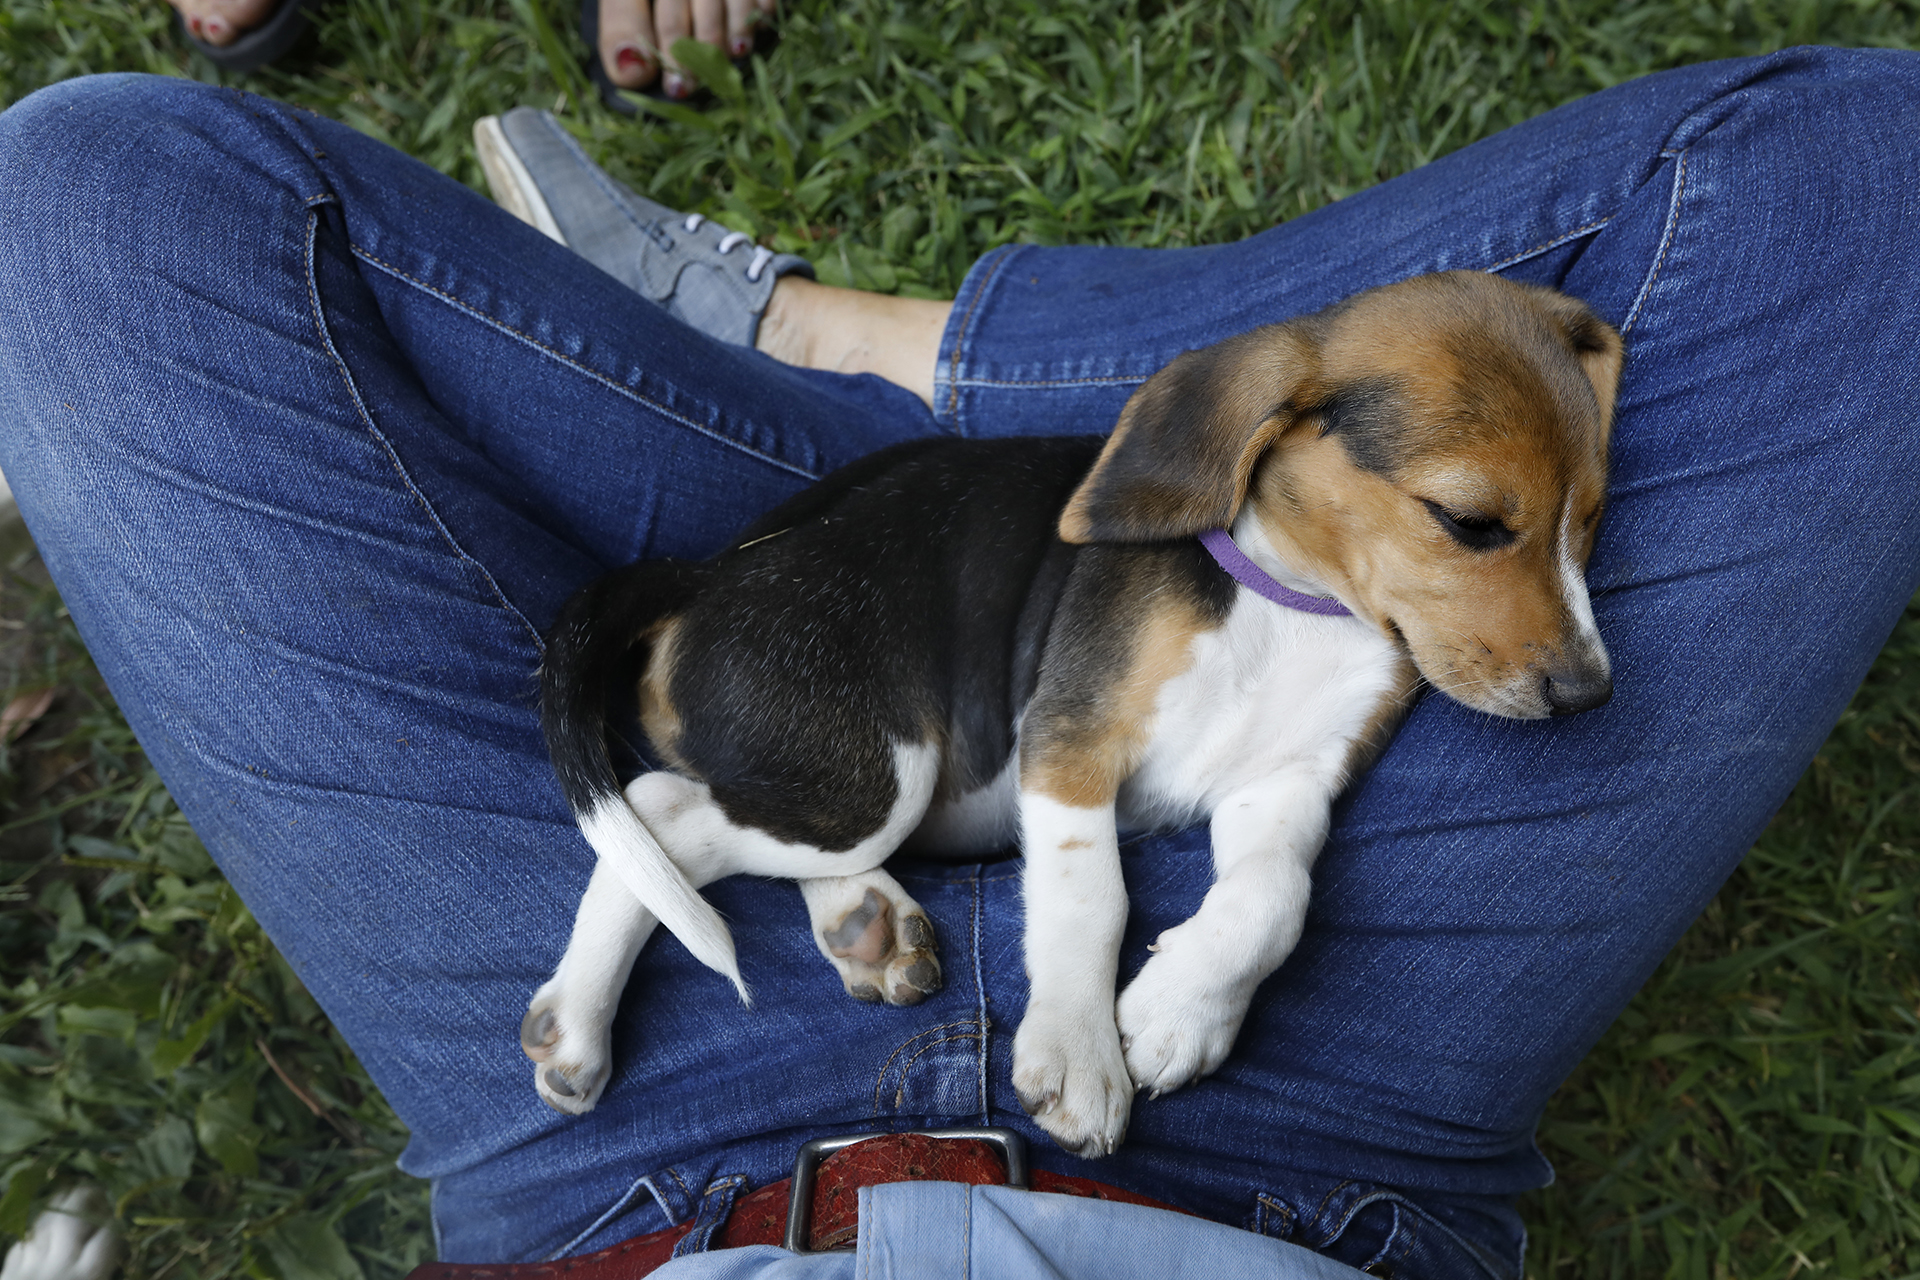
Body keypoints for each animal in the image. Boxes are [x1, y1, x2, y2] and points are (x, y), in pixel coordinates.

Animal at [522, 270, 1620, 1159]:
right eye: (1470, 522)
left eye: (1591, 522)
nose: (1591, 693)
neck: (1290, 603)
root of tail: (702, 578)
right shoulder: (1070, 744)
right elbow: (1093, 898)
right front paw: (1082, 1053)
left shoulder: (1286, 786)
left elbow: (1276, 899)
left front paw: (1184, 1011)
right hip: (878, 773)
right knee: (660, 813)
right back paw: (578, 1020)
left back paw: (862, 922)